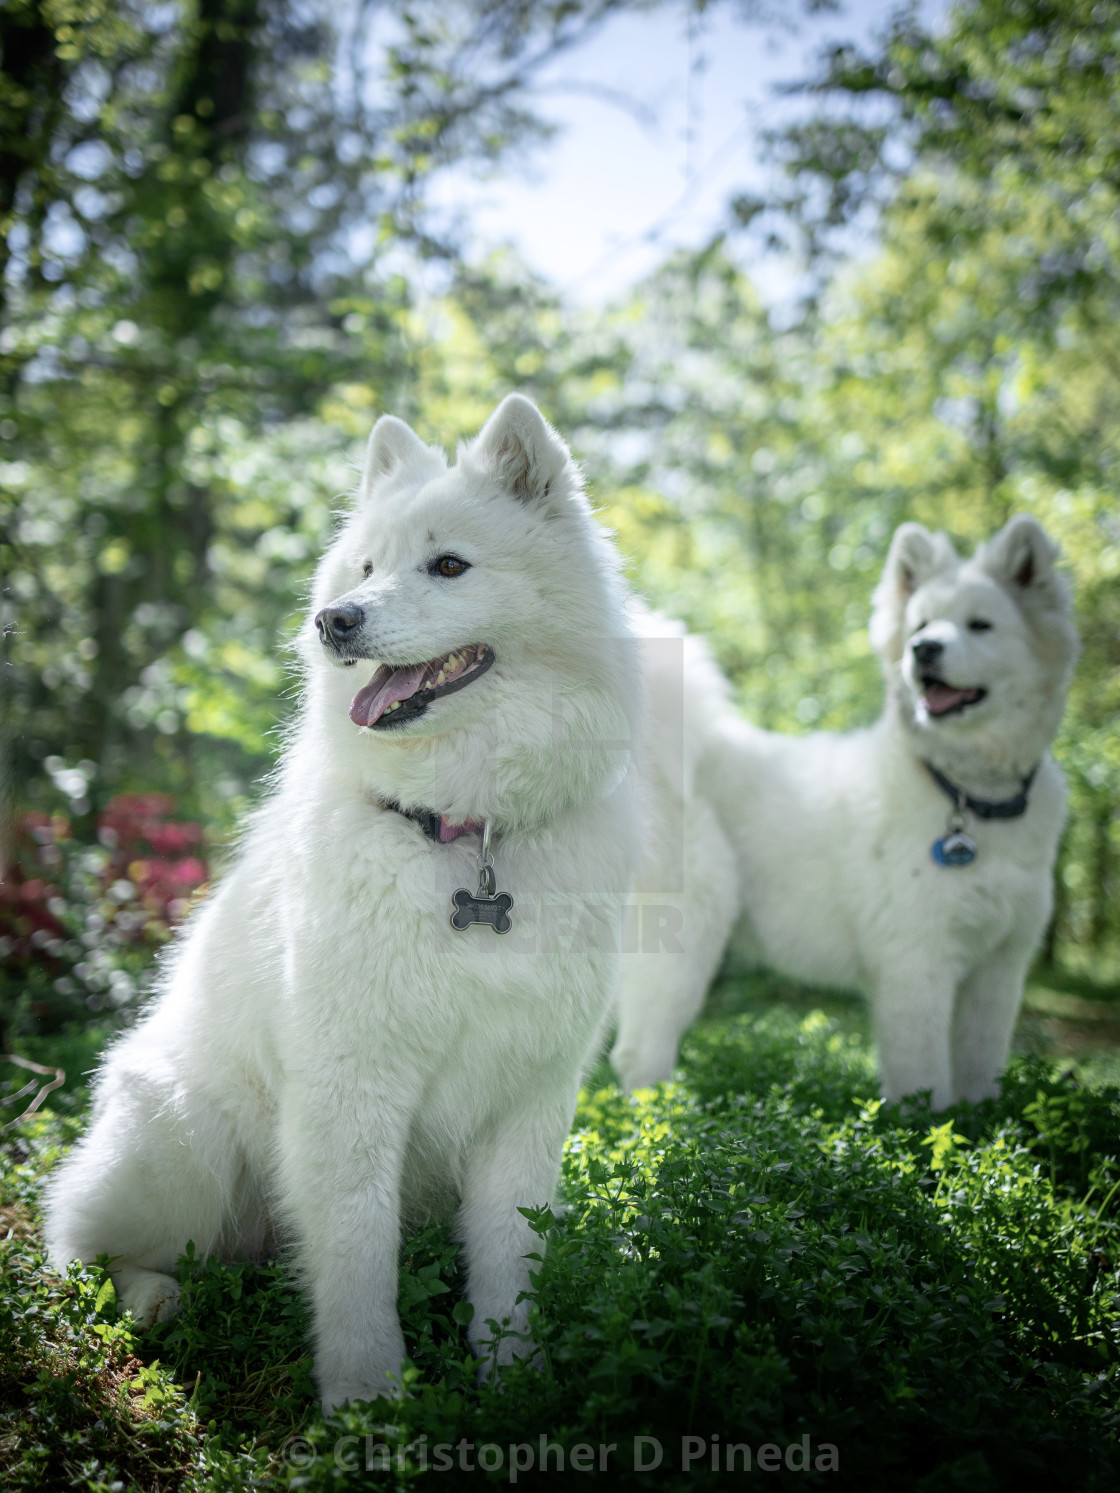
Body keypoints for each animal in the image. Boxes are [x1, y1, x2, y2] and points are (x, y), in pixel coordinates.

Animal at [46, 394, 639, 1409]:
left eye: (448, 565)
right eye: (364, 568)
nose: (334, 620)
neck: (463, 835)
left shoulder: (529, 1097)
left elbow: (511, 1256)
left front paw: (514, 1376)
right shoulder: (350, 1090)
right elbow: (358, 1255)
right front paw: (367, 1400)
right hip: (186, 1144)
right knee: (84, 1240)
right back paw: (157, 1296)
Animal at [615, 513, 1081, 1110]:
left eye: (980, 625)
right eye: (920, 624)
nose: (923, 649)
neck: (965, 793)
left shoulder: (998, 970)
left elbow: (979, 1076)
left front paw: (981, 1123)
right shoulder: (916, 965)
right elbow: (925, 1083)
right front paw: (926, 1129)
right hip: (685, 940)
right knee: (637, 1056)